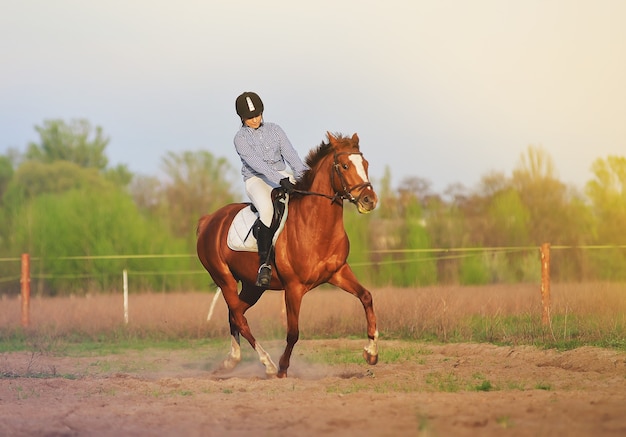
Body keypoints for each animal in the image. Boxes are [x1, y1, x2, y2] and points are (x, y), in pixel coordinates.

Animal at [197, 131, 378, 376]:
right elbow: (293, 332)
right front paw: (283, 368)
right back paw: (268, 364)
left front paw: (371, 353)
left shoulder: (338, 273)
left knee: (235, 315)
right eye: (345, 165)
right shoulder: (293, 288)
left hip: (253, 286)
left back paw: (232, 360)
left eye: (365, 164)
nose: (369, 201)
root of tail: (209, 220)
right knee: (239, 318)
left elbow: (366, 297)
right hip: (224, 279)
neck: (316, 226)